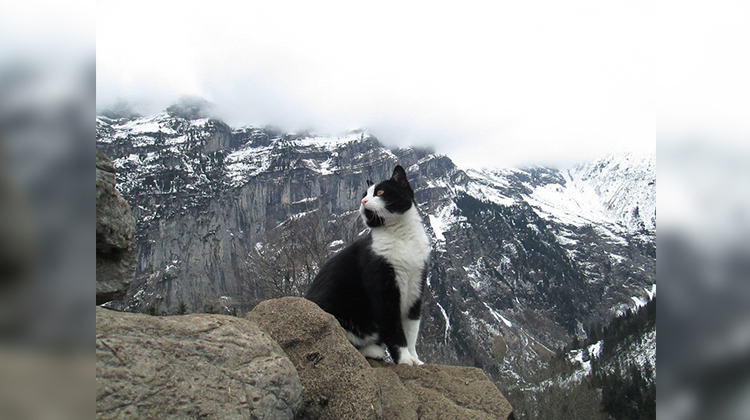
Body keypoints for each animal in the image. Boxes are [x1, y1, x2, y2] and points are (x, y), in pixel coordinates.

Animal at [306, 164, 432, 364]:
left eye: (380, 192)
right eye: (364, 194)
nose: (363, 201)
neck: (402, 237)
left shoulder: (416, 285)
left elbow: (412, 329)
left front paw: (415, 359)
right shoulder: (382, 287)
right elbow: (393, 328)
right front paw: (404, 359)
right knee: (339, 339)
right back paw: (373, 350)